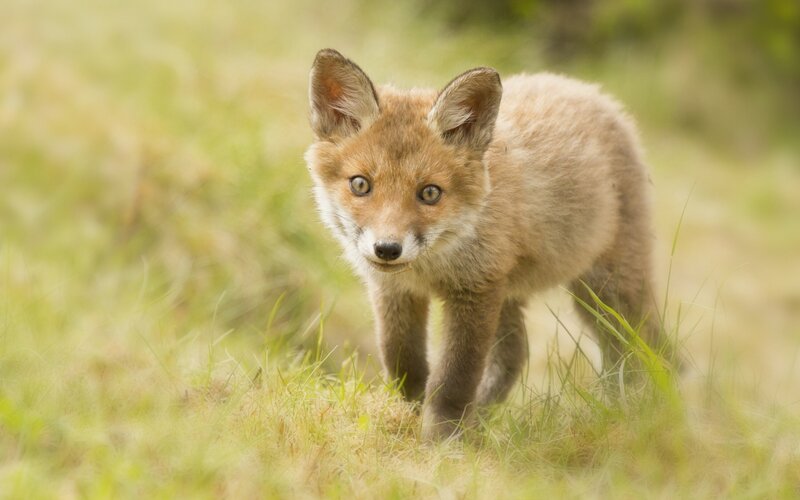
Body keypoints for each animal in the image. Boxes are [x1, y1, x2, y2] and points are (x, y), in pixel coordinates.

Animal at [304, 48, 675, 440]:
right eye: (360, 185)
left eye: (430, 193)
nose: (387, 249)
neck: (433, 265)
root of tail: (589, 90)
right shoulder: (395, 290)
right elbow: (403, 360)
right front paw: (410, 414)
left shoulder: (475, 289)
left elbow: (455, 378)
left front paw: (443, 439)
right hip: (516, 293)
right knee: (516, 354)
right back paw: (483, 417)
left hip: (608, 291)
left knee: (642, 347)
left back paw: (638, 410)